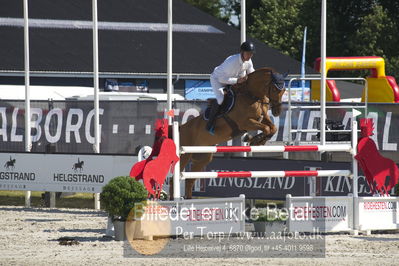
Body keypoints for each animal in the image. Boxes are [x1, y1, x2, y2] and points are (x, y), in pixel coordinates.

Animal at [171, 67, 288, 198]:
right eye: (274, 88)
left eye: (284, 90)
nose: (277, 111)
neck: (252, 95)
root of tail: (181, 127)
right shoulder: (245, 122)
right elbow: (267, 129)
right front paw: (253, 140)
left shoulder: (263, 118)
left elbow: (272, 128)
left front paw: (256, 140)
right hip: (184, 155)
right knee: (174, 179)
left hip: (203, 158)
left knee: (190, 180)